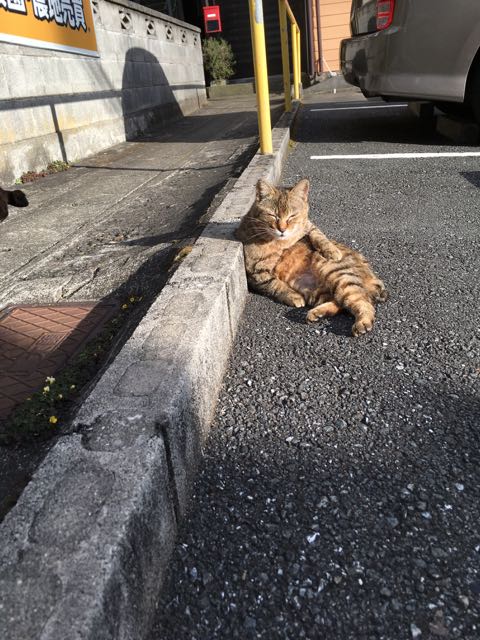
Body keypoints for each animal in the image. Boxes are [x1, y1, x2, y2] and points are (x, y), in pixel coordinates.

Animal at [234, 175, 388, 336]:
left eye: (292, 216)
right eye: (273, 216)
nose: (282, 229)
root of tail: (372, 276)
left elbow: (316, 234)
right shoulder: (256, 272)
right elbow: (274, 284)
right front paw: (293, 296)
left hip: (338, 275)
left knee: (363, 302)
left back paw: (362, 322)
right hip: (316, 291)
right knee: (341, 303)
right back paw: (318, 313)